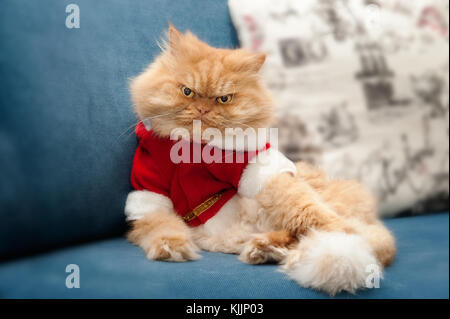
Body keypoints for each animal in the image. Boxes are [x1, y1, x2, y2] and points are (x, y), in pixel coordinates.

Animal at [125, 25, 396, 298]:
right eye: (187, 92)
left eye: (224, 99)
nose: (202, 110)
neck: (192, 148)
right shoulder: (151, 192)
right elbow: (162, 227)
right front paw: (171, 249)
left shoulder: (257, 169)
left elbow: (309, 211)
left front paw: (341, 234)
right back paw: (266, 250)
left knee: (333, 231)